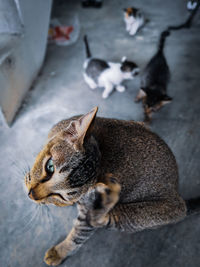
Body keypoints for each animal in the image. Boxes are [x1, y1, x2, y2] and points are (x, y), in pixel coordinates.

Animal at [25, 107, 200, 266]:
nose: (32, 194)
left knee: (102, 219)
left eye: (62, 195)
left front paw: (59, 252)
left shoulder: (86, 209)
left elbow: (77, 236)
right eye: (50, 167)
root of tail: (177, 193)